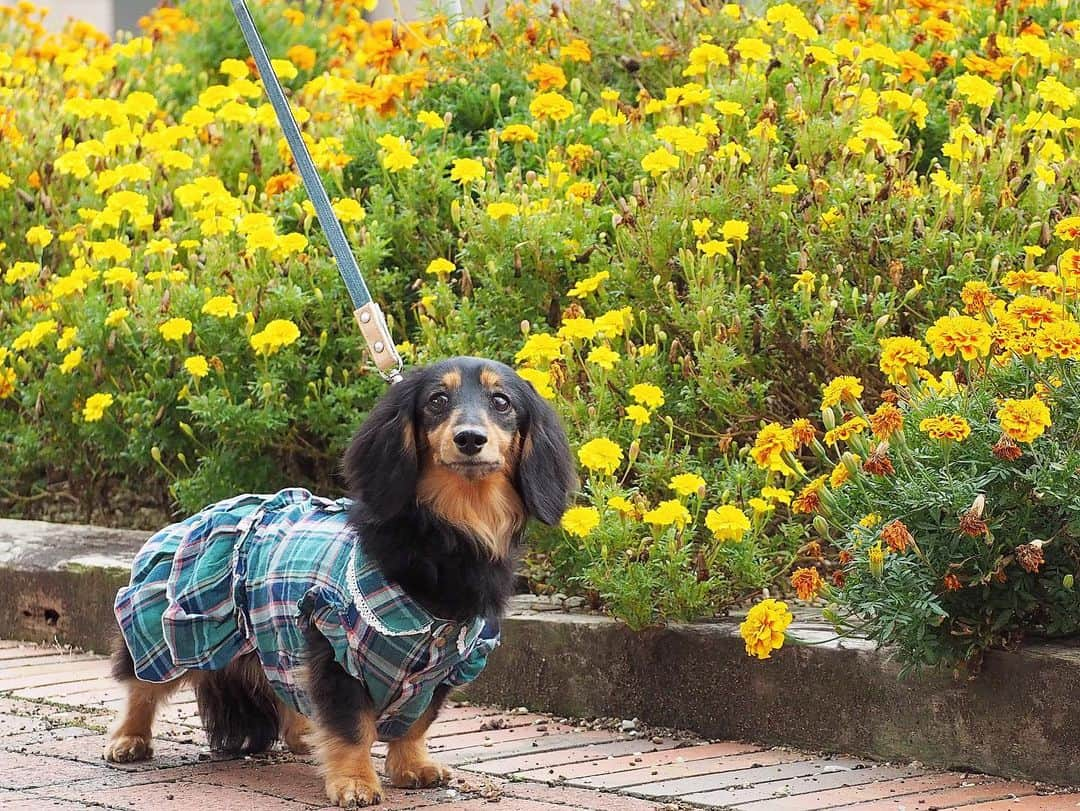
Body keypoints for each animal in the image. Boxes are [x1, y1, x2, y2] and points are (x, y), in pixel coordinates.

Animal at [103, 358, 574, 807]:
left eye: (501, 402)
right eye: (437, 400)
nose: (470, 439)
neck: (447, 537)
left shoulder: (449, 661)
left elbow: (416, 721)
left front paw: (411, 766)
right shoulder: (335, 644)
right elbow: (351, 727)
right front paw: (355, 783)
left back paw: (305, 735)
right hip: (172, 622)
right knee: (142, 685)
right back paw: (129, 739)